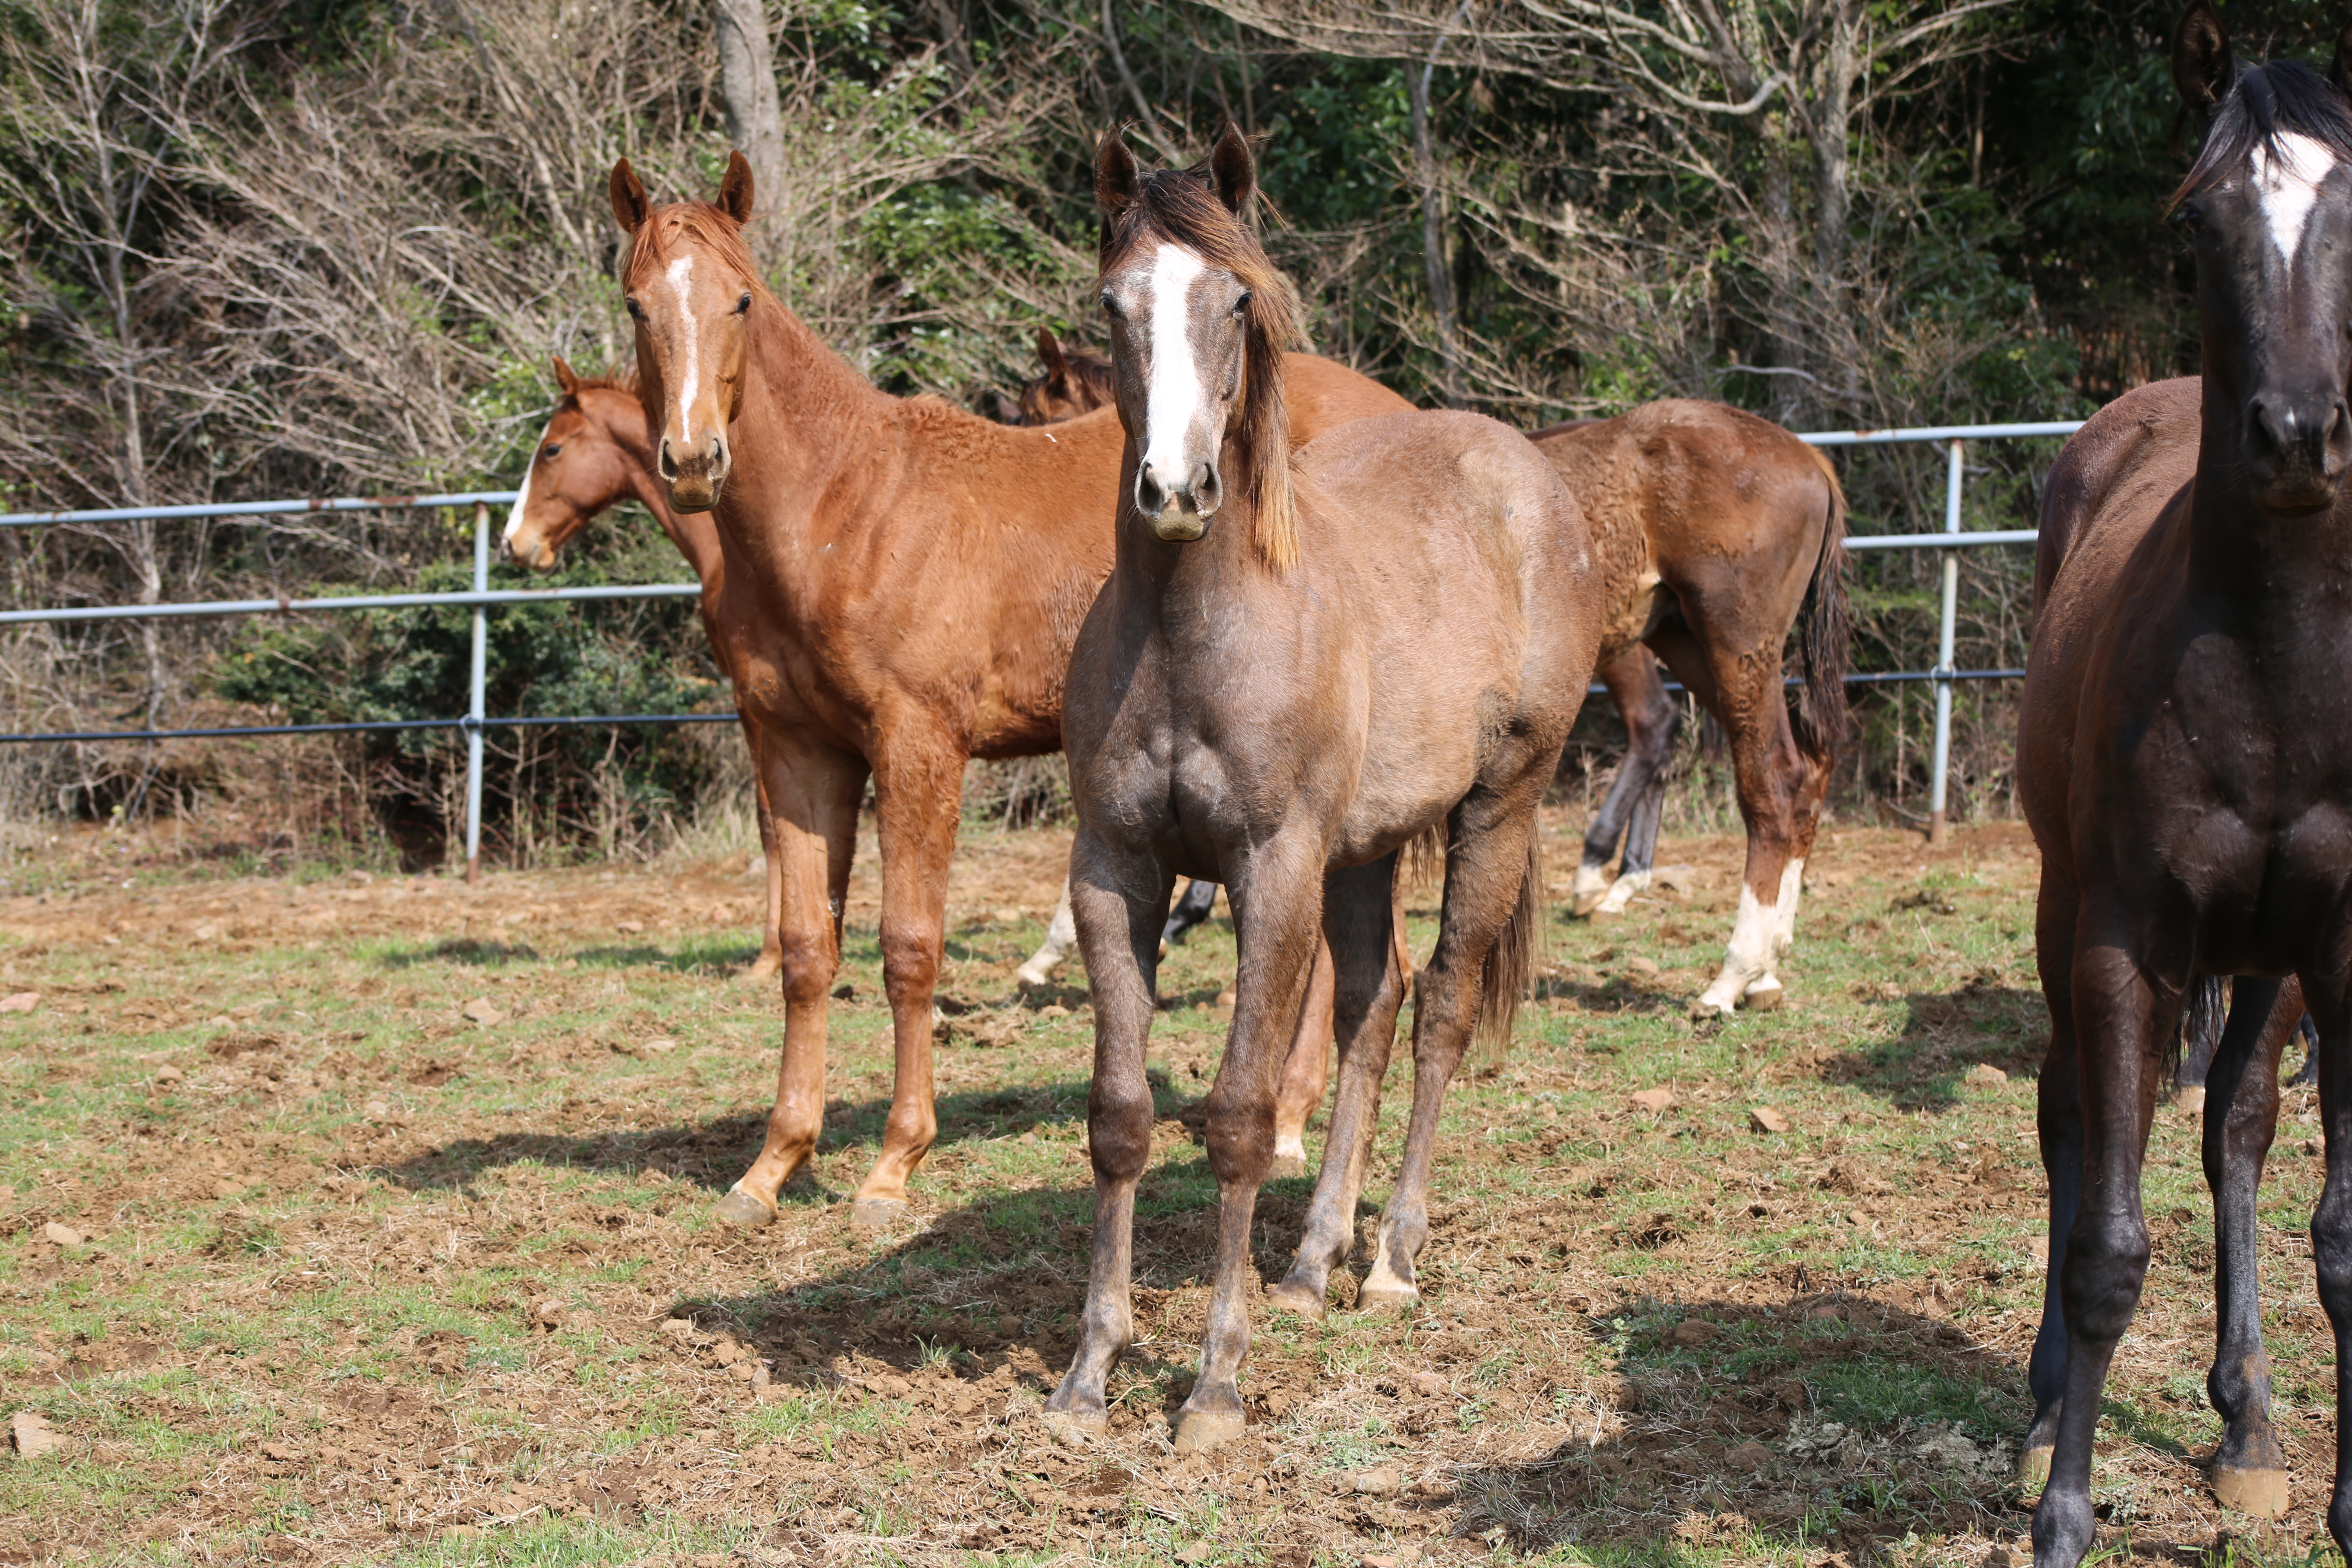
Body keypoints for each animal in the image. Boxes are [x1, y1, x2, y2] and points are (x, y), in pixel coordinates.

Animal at [611, 150, 1411, 1222]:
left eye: (740, 300)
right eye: (636, 305)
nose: (694, 458)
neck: (841, 510)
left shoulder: (918, 747)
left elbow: (910, 946)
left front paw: (892, 1164)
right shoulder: (797, 750)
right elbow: (806, 950)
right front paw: (774, 1164)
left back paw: (1285, 1123)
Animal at [1044, 126, 1608, 1457]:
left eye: (1237, 302)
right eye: (1114, 303)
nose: (1176, 491)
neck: (1194, 633)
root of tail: (1532, 476)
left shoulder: (1272, 869)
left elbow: (1243, 1114)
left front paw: (1212, 1386)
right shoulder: (1115, 872)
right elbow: (1122, 1113)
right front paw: (1091, 1372)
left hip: (1496, 807)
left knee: (1442, 1003)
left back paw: (1390, 1257)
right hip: (1365, 850)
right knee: (1374, 1006)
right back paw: (1310, 1261)